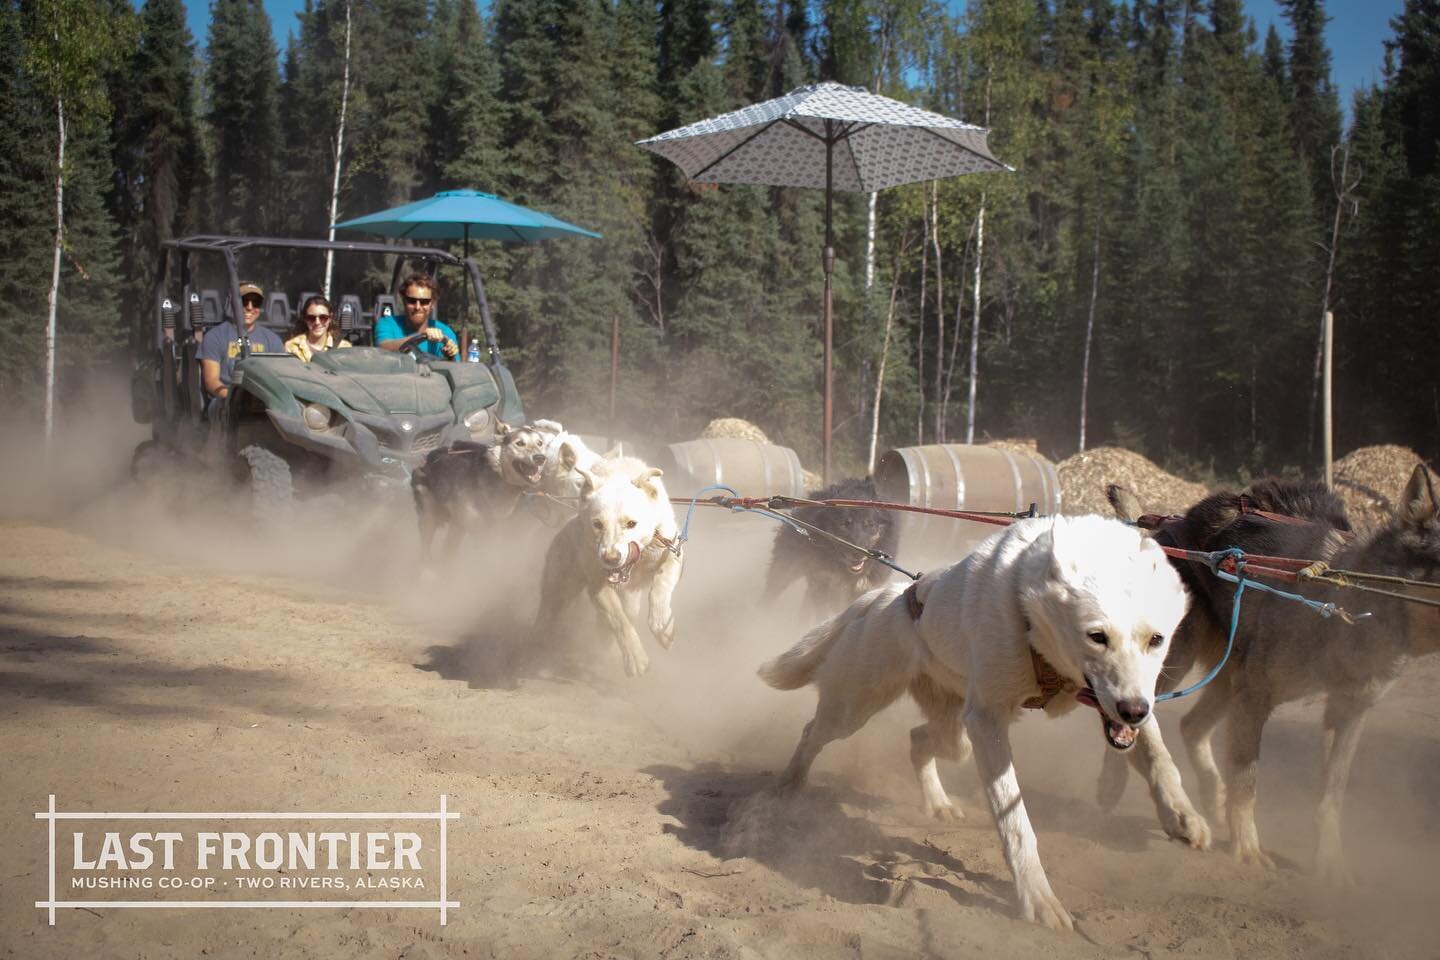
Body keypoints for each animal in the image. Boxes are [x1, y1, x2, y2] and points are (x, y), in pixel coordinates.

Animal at [532, 446, 682, 679]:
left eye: (631, 523)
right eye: (597, 524)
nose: (610, 559)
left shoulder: (673, 549)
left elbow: (662, 581)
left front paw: (661, 624)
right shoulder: (597, 585)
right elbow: (618, 620)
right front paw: (634, 657)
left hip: (628, 600)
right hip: (559, 589)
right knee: (548, 612)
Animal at [766, 518, 1192, 932]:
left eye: (1156, 639)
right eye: (1097, 636)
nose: (1133, 710)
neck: (1029, 614)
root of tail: (888, 596)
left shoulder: (1125, 701)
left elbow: (1157, 754)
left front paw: (1181, 814)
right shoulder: (987, 721)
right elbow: (1014, 821)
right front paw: (1037, 898)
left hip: (954, 727)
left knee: (919, 739)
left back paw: (937, 802)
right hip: (855, 708)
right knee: (814, 732)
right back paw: (788, 785)